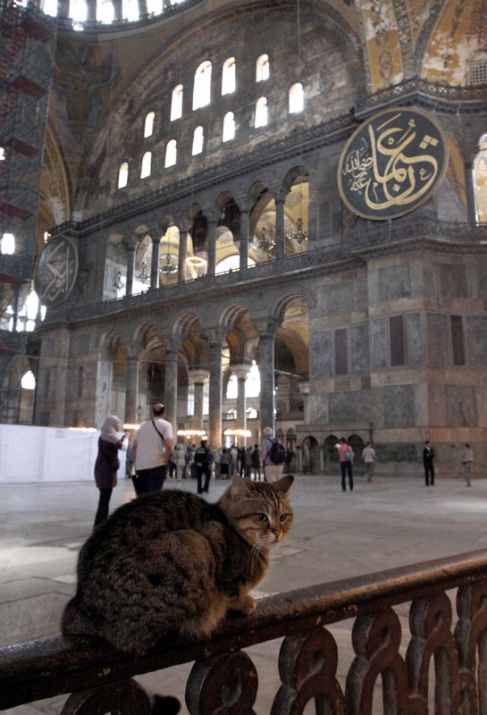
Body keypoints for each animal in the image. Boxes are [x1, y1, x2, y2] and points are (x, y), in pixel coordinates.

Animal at [63, 472, 296, 656]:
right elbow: (231, 591)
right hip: (192, 543)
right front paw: (244, 602)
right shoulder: (216, 545)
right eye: (262, 517)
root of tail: (80, 604)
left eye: (283, 517)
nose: (277, 532)